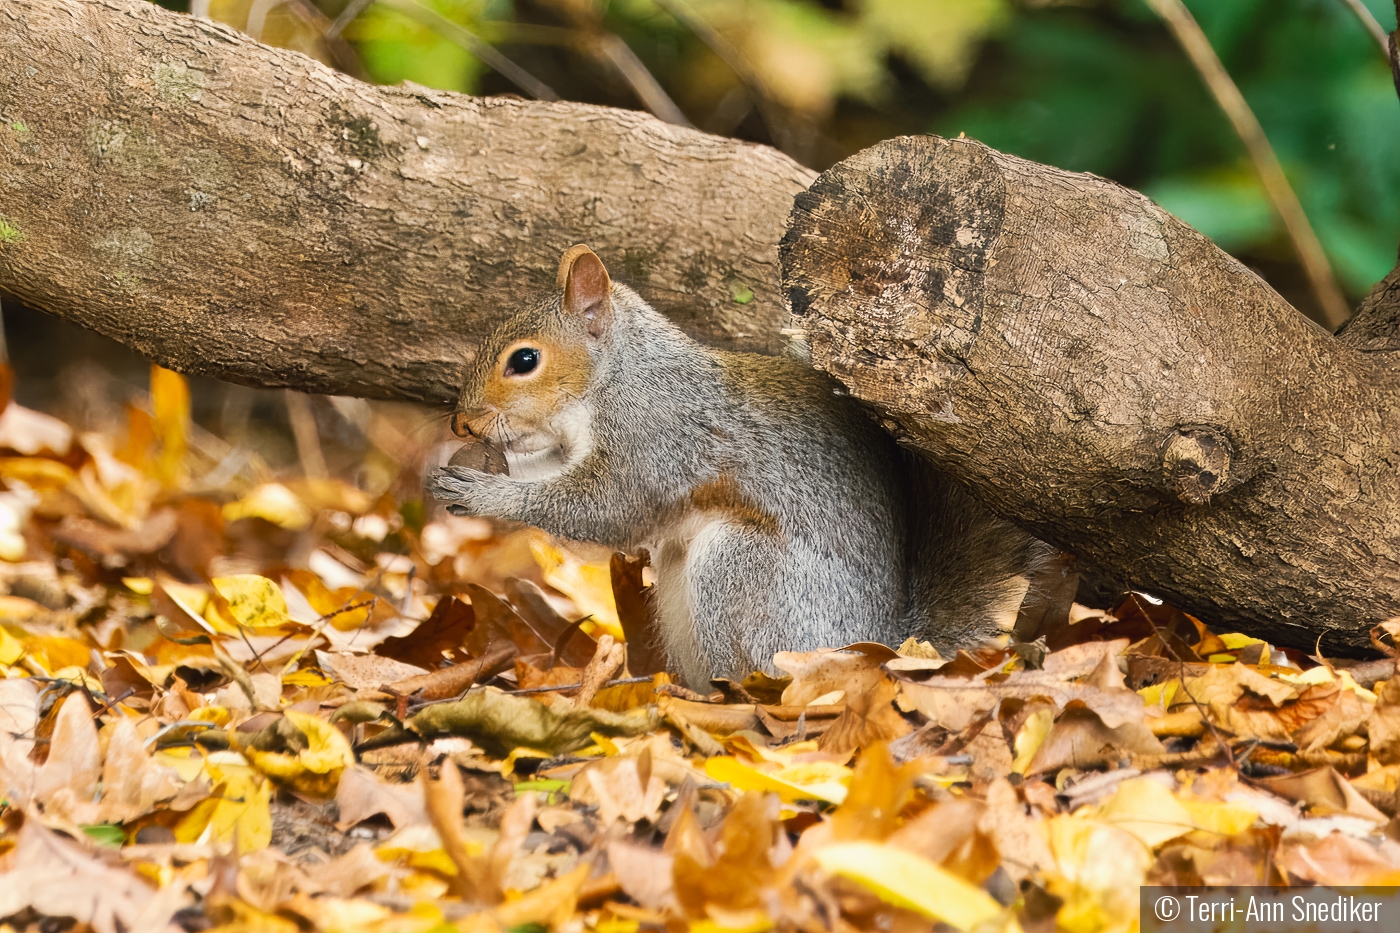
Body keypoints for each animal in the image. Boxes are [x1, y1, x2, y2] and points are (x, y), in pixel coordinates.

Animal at [428, 245, 1058, 683]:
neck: (614, 377)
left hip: (741, 574)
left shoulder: (657, 438)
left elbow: (605, 510)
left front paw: (484, 493)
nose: (461, 424)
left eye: (524, 361)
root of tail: (880, 648)